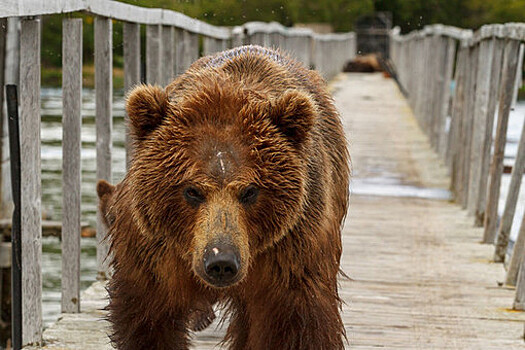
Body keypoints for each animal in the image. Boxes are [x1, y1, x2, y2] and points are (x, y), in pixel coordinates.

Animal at [98, 45, 352, 348]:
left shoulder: (293, 250)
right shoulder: (155, 251)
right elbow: (148, 319)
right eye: (192, 190)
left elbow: (295, 324)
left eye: (250, 191)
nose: (221, 262)